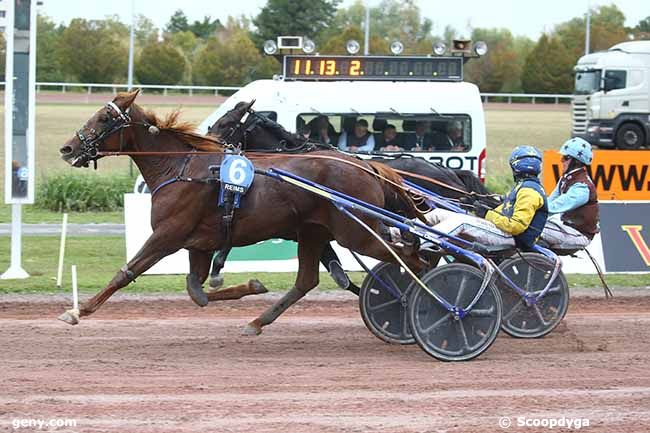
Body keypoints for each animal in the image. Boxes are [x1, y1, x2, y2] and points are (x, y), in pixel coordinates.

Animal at [58, 90, 422, 334]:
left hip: (356, 232)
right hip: (314, 232)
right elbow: (197, 291)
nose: (67, 148)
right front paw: (252, 285)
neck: (179, 168)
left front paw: (79, 310)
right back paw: (257, 321)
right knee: (307, 280)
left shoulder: (167, 235)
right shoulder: (200, 243)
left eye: (104, 118)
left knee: (411, 258)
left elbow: (127, 272)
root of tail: (368, 167)